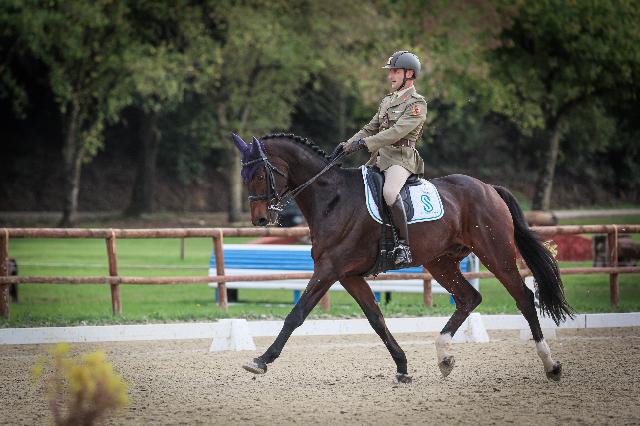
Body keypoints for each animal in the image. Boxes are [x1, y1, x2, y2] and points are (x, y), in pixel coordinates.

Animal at [232, 133, 572, 382]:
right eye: (243, 175)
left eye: (260, 174)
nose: (260, 219)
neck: (332, 198)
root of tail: (489, 187)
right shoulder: (348, 275)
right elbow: (376, 319)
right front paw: (403, 366)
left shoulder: (329, 269)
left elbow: (296, 314)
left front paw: (261, 360)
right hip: (440, 261)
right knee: (468, 298)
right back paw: (444, 357)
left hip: (494, 252)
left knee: (524, 298)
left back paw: (551, 365)